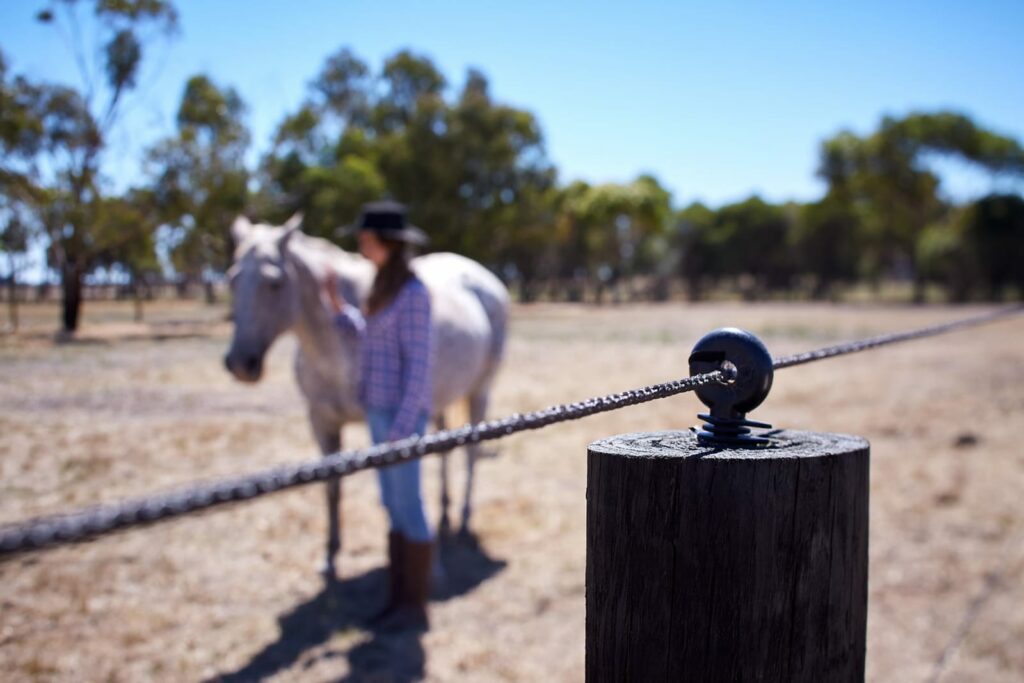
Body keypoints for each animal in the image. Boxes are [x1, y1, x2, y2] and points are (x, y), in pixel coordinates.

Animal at [223, 214, 509, 578]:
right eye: (232, 280)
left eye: (274, 282)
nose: (240, 364)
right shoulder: (321, 420)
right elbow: (333, 488)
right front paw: (330, 555)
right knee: (446, 451)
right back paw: (445, 517)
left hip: (480, 390)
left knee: (471, 453)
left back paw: (462, 523)